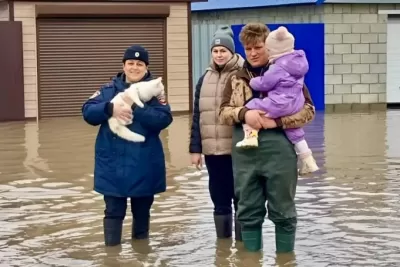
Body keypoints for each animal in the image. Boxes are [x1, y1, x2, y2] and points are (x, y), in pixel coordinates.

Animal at [82, 44, 173, 247]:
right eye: (162, 88)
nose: (164, 96)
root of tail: (114, 126)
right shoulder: (132, 93)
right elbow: (136, 98)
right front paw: (139, 104)